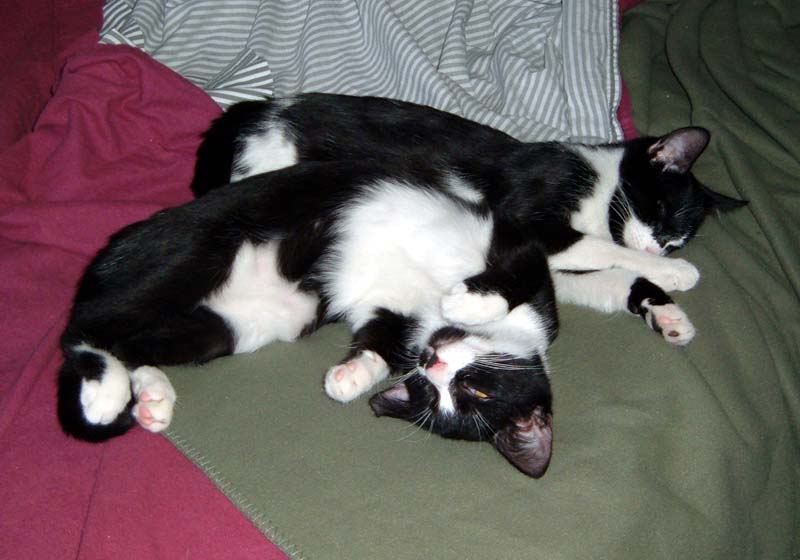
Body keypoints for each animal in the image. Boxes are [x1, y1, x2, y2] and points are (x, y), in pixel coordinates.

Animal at [59, 159, 559, 478]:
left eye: (439, 401)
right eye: (476, 390)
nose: (432, 362)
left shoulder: (391, 312)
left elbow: (382, 342)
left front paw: (350, 378)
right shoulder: (508, 237)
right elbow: (526, 269)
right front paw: (473, 301)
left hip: (222, 327)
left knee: (128, 340)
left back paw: (149, 394)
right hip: (199, 249)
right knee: (86, 323)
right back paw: (106, 393)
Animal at [191, 93, 748, 346]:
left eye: (676, 238)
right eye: (660, 212)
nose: (661, 249)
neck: (598, 182)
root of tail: (255, 111)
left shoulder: (560, 269)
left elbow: (607, 278)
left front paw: (666, 308)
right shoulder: (532, 215)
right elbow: (602, 248)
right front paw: (675, 275)